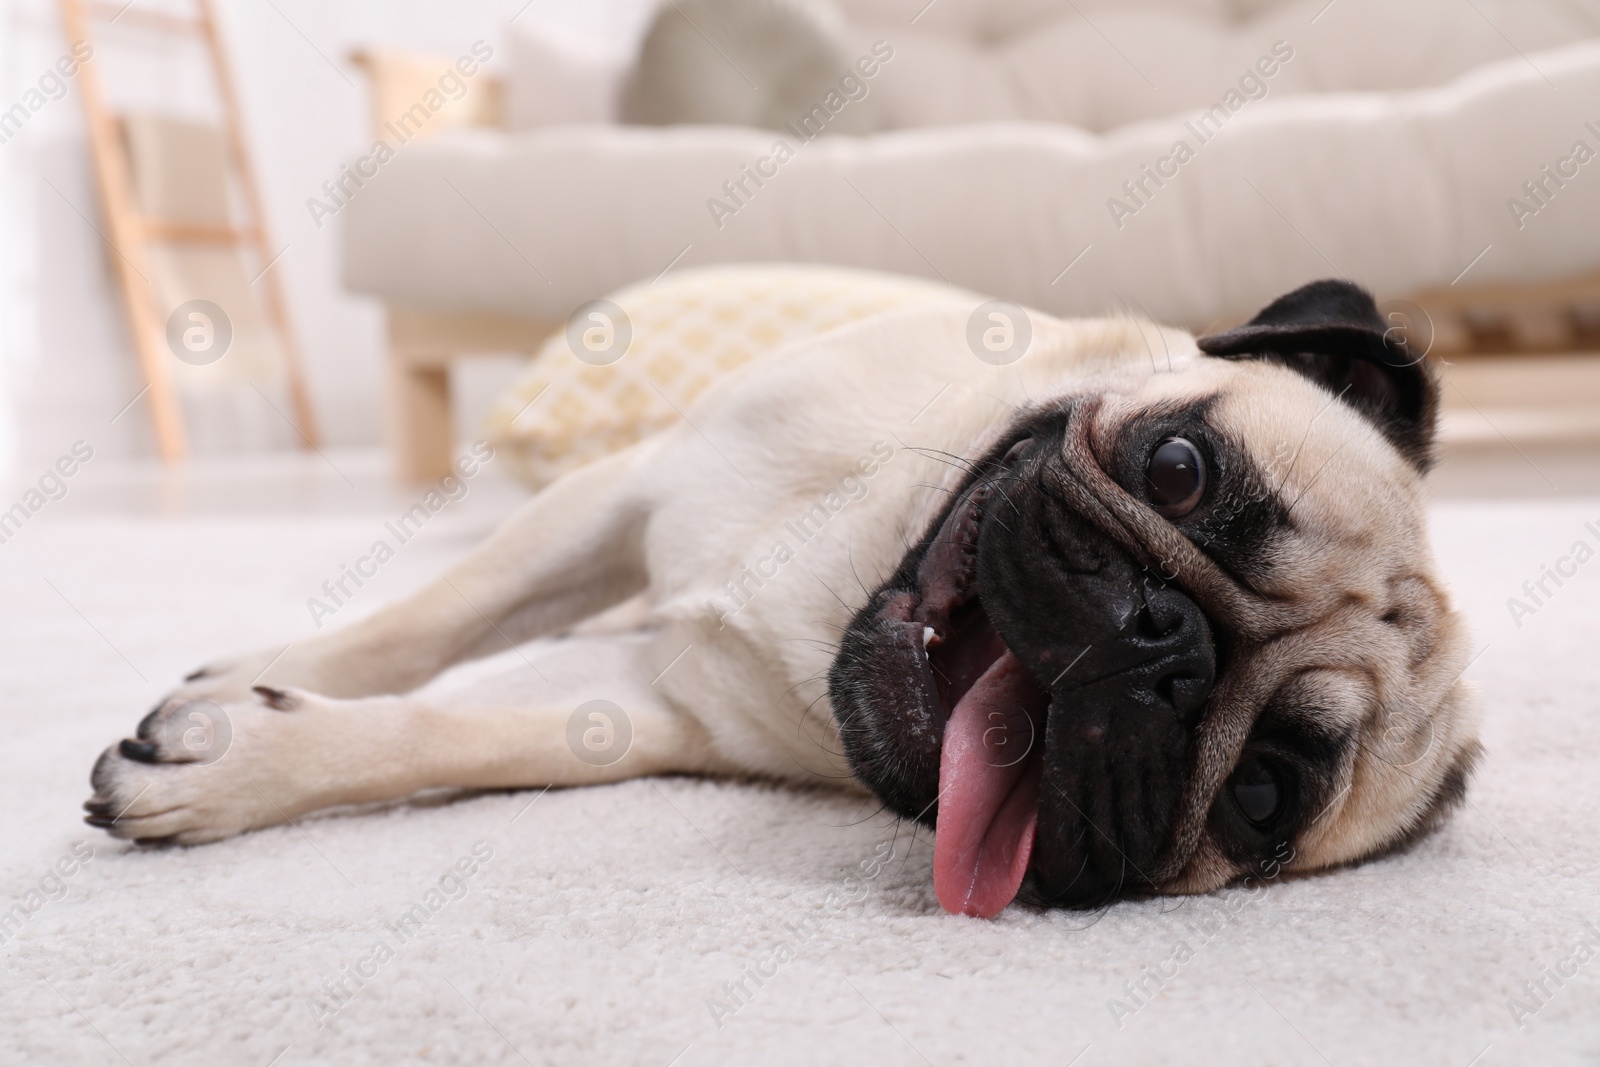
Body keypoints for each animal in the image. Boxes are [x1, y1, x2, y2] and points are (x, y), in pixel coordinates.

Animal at [84, 278, 1472, 921]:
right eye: (1179, 468)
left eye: (1261, 795)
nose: (1162, 645)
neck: (848, 559)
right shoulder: (618, 491)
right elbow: (435, 623)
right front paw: (243, 686)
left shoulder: (649, 706)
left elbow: (444, 734)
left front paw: (238, 763)